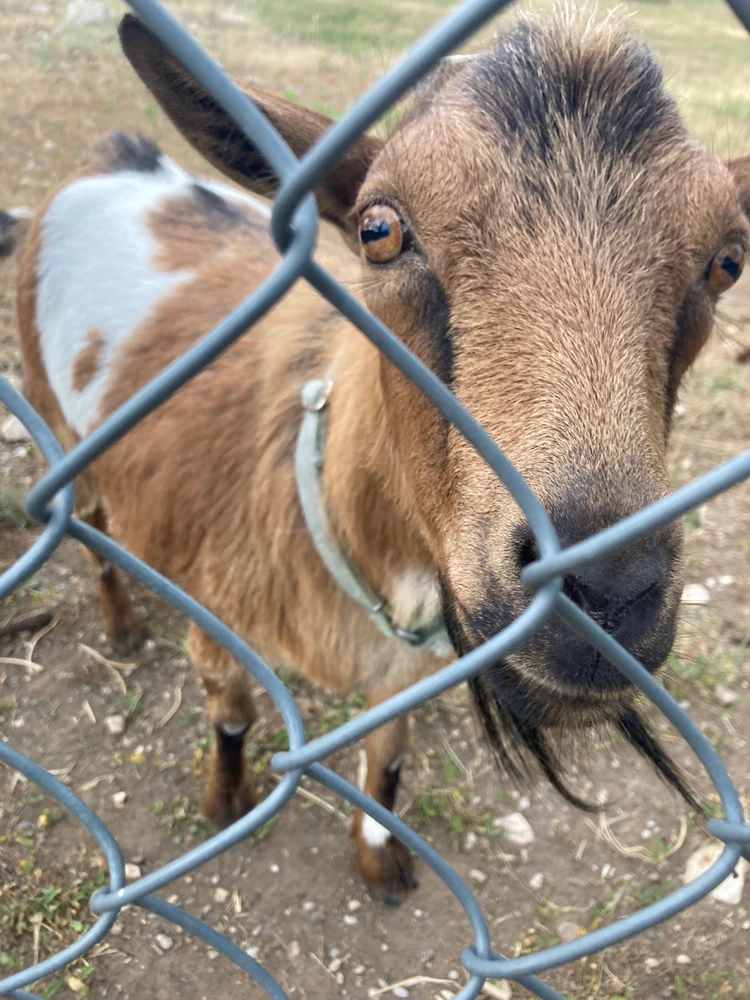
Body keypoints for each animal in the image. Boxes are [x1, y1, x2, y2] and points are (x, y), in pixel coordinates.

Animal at [7, 8, 750, 904]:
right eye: (378, 229)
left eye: (728, 260)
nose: (609, 590)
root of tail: (118, 159)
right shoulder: (220, 621)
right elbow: (232, 714)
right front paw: (227, 801)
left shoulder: (405, 667)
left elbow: (387, 761)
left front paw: (380, 861)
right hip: (58, 421)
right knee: (90, 530)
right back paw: (119, 629)